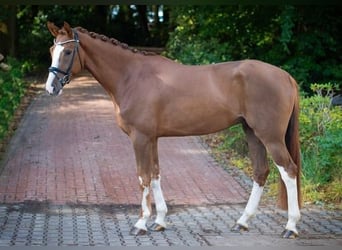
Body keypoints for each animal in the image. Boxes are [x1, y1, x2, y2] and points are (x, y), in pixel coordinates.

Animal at [45, 22, 302, 238]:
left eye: (67, 52)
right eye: (51, 49)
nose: (51, 88)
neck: (132, 76)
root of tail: (286, 76)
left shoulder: (140, 138)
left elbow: (143, 177)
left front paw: (141, 224)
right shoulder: (152, 138)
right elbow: (156, 175)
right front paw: (159, 221)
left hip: (270, 137)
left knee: (288, 171)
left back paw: (290, 226)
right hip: (252, 133)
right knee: (261, 172)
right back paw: (242, 222)